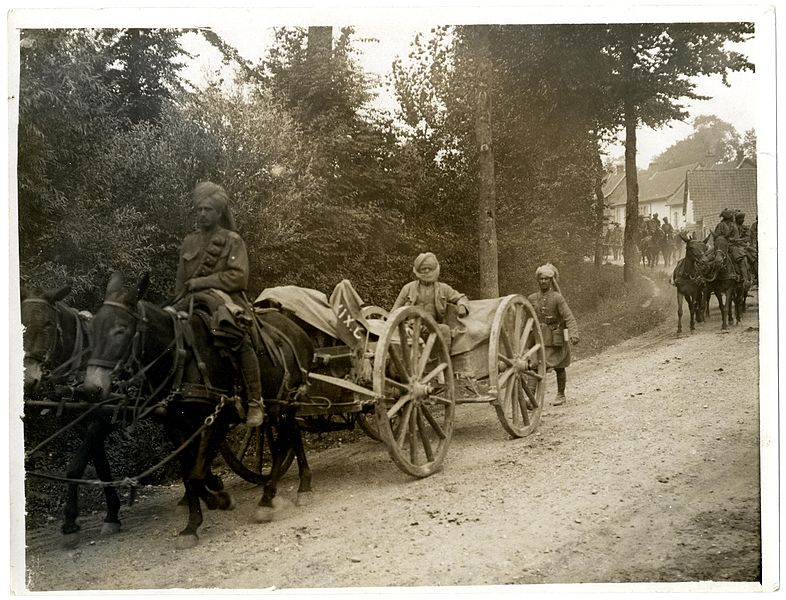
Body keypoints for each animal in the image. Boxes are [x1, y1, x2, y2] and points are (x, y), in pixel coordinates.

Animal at [79, 274, 312, 552]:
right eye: (92, 330)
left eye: (121, 329)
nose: (92, 388)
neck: (182, 360)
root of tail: (297, 330)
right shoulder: (176, 428)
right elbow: (188, 476)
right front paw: (193, 524)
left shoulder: (217, 421)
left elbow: (197, 473)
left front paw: (221, 500)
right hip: (280, 407)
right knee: (292, 436)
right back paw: (295, 488)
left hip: (284, 403)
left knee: (283, 443)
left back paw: (272, 497)